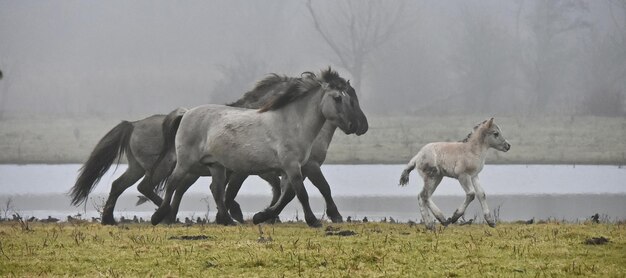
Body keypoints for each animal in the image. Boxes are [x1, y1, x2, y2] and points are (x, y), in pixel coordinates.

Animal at [152, 68, 366, 227]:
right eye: (338, 98)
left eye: (350, 98)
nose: (355, 125)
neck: (292, 122)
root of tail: (186, 113)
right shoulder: (293, 165)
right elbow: (302, 193)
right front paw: (314, 221)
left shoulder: (292, 168)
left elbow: (287, 195)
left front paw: (261, 216)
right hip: (187, 162)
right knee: (173, 184)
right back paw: (159, 217)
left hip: (216, 166)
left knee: (216, 190)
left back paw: (228, 220)